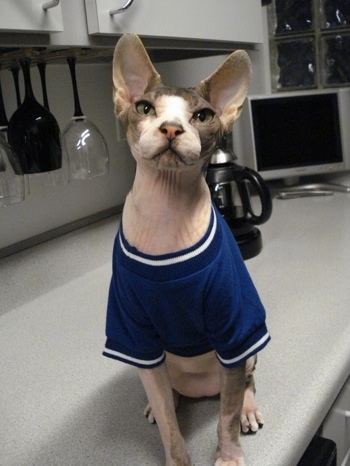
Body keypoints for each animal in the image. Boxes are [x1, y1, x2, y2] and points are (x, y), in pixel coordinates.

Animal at [102, 33, 270, 466]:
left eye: (203, 116)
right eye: (145, 108)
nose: (172, 129)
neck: (167, 217)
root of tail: (202, 388)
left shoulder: (234, 328)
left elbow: (224, 419)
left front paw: (228, 456)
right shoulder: (135, 335)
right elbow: (170, 427)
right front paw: (177, 457)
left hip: (246, 349)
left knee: (244, 384)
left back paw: (247, 408)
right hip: (158, 365)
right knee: (167, 395)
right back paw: (161, 403)